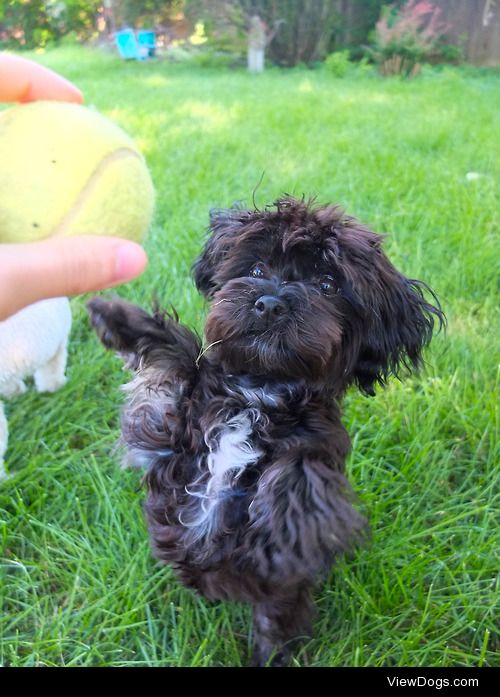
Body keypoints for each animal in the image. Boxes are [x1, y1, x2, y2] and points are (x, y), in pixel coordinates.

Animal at [88, 196, 444, 664]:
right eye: (257, 269)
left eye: (328, 285)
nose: (271, 302)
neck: (259, 394)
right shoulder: (166, 437)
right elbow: (179, 354)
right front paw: (119, 318)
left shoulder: (320, 445)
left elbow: (304, 464)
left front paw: (291, 514)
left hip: (280, 604)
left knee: (276, 627)